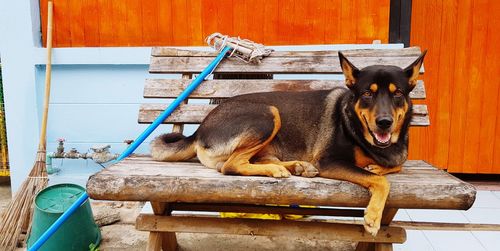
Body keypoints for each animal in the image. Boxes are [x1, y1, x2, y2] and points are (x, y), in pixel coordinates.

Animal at [149, 50, 426, 235]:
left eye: (398, 94)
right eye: (367, 93)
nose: (384, 122)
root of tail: (199, 130)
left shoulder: (395, 154)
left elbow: (395, 164)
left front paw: (378, 166)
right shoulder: (330, 161)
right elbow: (380, 180)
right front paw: (372, 216)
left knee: (247, 162)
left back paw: (296, 167)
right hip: (268, 113)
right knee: (230, 166)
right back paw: (280, 170)